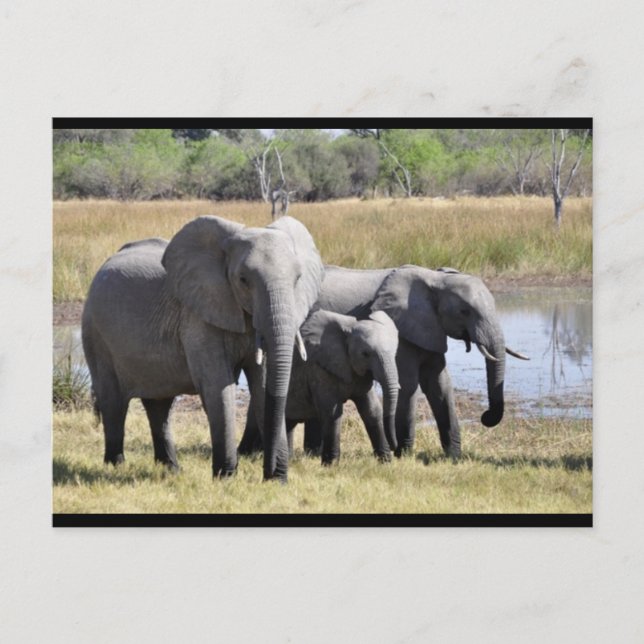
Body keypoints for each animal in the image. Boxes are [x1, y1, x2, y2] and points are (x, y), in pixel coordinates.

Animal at [81, 215, 323, 482]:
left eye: (298, 279)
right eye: (243, 280)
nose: (271, 473)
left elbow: (262, 384)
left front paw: (276, 480)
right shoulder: (198, 317)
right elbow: (218, 385)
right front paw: (225, 478)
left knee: (160, 405)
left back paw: (171, 469)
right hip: (96, 334)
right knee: (113, 402)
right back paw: (115, 466)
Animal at [284, 309, 400, 465]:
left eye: (395, 352)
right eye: (365, 354)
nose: (395, 447)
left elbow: (372, 410)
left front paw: (386, 462)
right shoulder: (319, 368)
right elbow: (332, 412)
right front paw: (331, 465)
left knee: (288, 423)